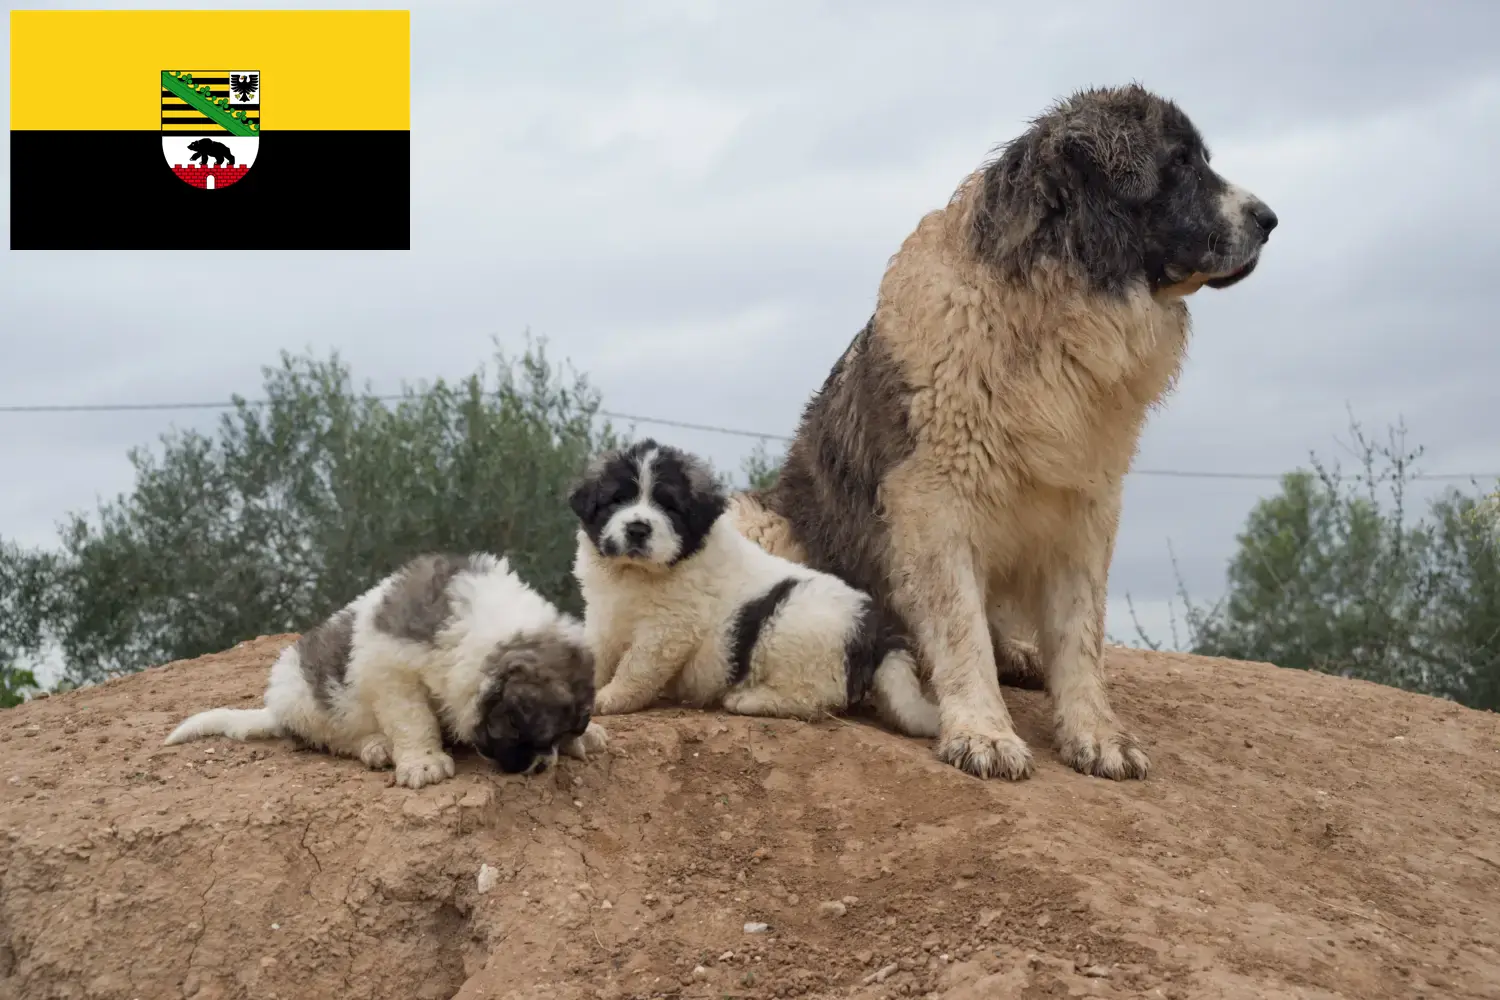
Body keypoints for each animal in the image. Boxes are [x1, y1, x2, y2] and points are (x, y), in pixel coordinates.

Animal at [161, 548, 606, 791]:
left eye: (558, 734)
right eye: (530, 732)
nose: (539, 766)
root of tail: (275, 709)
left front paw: (586, 737)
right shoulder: (391, 671)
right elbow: (412, 719)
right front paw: (424, 762)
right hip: (307, 697)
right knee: (336, 737)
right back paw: (376, 746)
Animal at [570, 440, 936, 740]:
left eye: (669, 507)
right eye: (617, 500)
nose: (637, 529)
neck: (636, 574)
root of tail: (876, 627)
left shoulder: (669, 628)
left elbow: (637, 666)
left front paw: (612, 697)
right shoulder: (602, 615)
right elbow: (596, 654)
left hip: (795, 631)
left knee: (812, 698)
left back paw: (749, 699)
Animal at [732, 82, 1272, 779]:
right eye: (1179, 162)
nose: (1269, 219)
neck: (1053, 313)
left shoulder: (1085, 510)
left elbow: (1080, 635)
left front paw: (1097, 735)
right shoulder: (933, 503)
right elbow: (960, 628)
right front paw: (983, 733)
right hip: (764, 524)